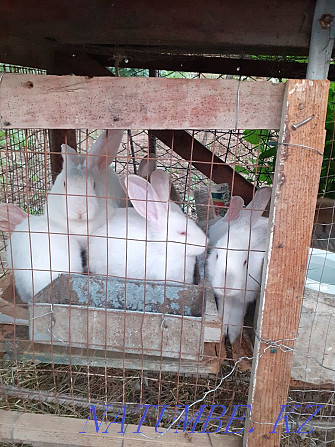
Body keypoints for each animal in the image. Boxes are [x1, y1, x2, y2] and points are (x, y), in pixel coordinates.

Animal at [207, 188, 272, 344]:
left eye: (245, 262)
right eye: (217, 255)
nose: (226, 284)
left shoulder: (244, 298)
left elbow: (236, 315)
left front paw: (232, 335)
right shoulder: (223, 298)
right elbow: (224, 311)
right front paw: (223, 330)